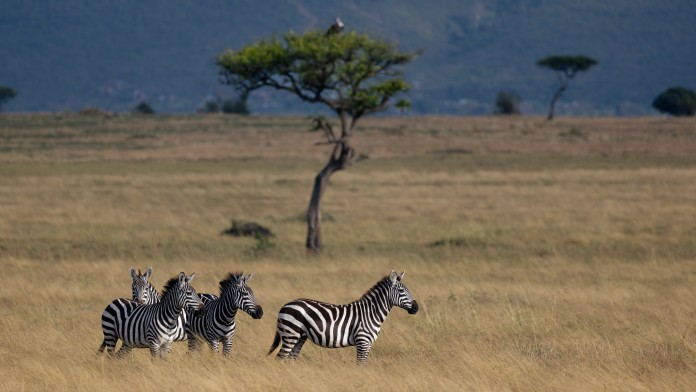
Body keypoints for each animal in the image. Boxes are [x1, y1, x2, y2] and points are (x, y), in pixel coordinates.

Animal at [266, 270, 418, 364]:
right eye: (401, 290)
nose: (416, 308)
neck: (371, 312)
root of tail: (285, 305)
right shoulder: (363, 342)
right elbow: (360, 365)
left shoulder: (368, 344)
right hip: (290, 334)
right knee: (280, 358)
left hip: (300, 337)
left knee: (290, 359)